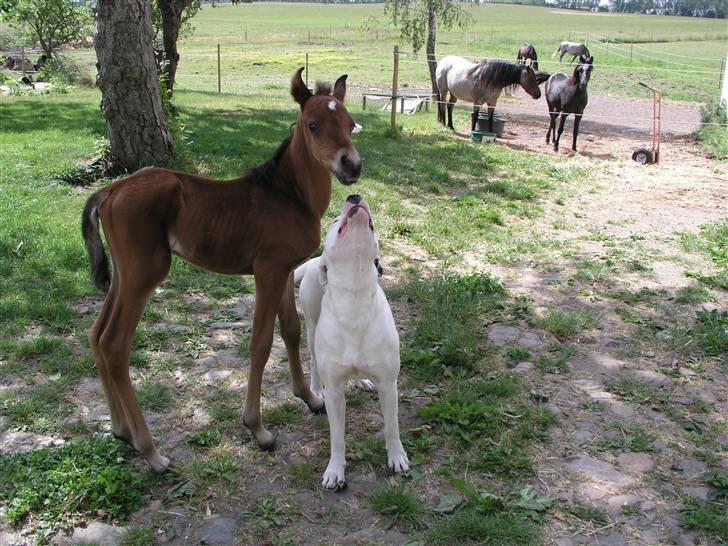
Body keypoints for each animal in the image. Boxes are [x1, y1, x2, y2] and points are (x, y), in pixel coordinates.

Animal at [82, 67, 362, 468]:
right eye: (313, 125)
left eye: (351, 124)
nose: (351, 165)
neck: (289, 197)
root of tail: (111, 190)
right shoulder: (267, 271)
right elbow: (261, 342)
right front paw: (257, 428)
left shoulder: (284, 270)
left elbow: (291, 330)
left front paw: (309, 398)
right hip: (144, 275)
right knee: (115, 345)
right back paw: (150, 451)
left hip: (124, 275)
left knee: (95, 334)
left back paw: (121, 430)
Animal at [294, 193, 410, 486]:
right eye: (335, 220)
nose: (354, 196)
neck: (355, 294)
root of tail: (314, 262)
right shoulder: (336, 392)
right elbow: (337, 437)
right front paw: (335, 470)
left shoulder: (389, 384)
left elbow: (392, 427)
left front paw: (397, 457)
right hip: (311, 327)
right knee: (313, 361)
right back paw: (316, 388)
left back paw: (360, 381)